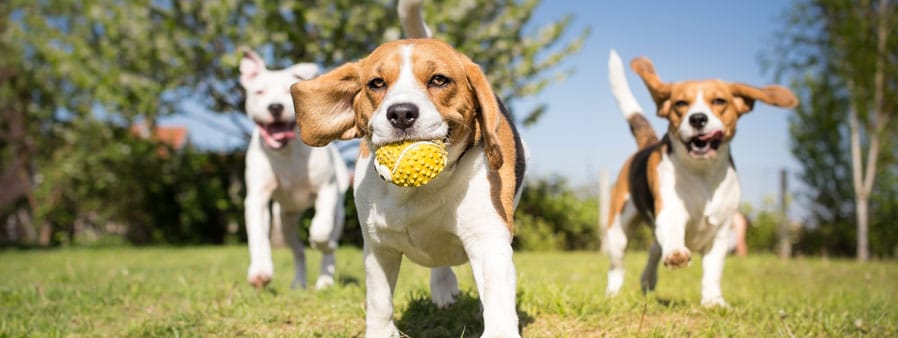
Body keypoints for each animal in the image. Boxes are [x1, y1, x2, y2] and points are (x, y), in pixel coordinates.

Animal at [238, 49, 350, 290]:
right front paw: (260, 272)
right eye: (259, 92)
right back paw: (298, 283)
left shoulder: (326, 189)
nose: (275, 107)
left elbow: (320, 230)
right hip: (285, 221)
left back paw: (325, 280)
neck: (286, 152)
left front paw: (322, 242)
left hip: (338, 210)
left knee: (328, 241)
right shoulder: (257, 198)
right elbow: (258, 235)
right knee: (298, 251)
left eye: (287, 92)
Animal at [290, 39, 524, 336]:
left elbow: (497, 297)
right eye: (376, 83)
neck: (418, 190)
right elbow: (379, 301)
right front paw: (380, 332)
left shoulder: (488, 240)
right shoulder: (379, 247)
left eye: (439, 80)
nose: (401, 113)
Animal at [604, 50, 796, 306]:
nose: (697, 119)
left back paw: (648, 281)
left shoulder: (721, 232)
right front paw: (677, 255)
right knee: (617, 266)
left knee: (654, 249)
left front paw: (713, 301)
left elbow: (713, 271)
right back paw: (613, 293)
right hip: (617, 231)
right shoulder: (670, 211)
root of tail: (647, 144)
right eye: (680, 104)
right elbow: (673, 234)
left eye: (719, 101)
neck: (702, 174)